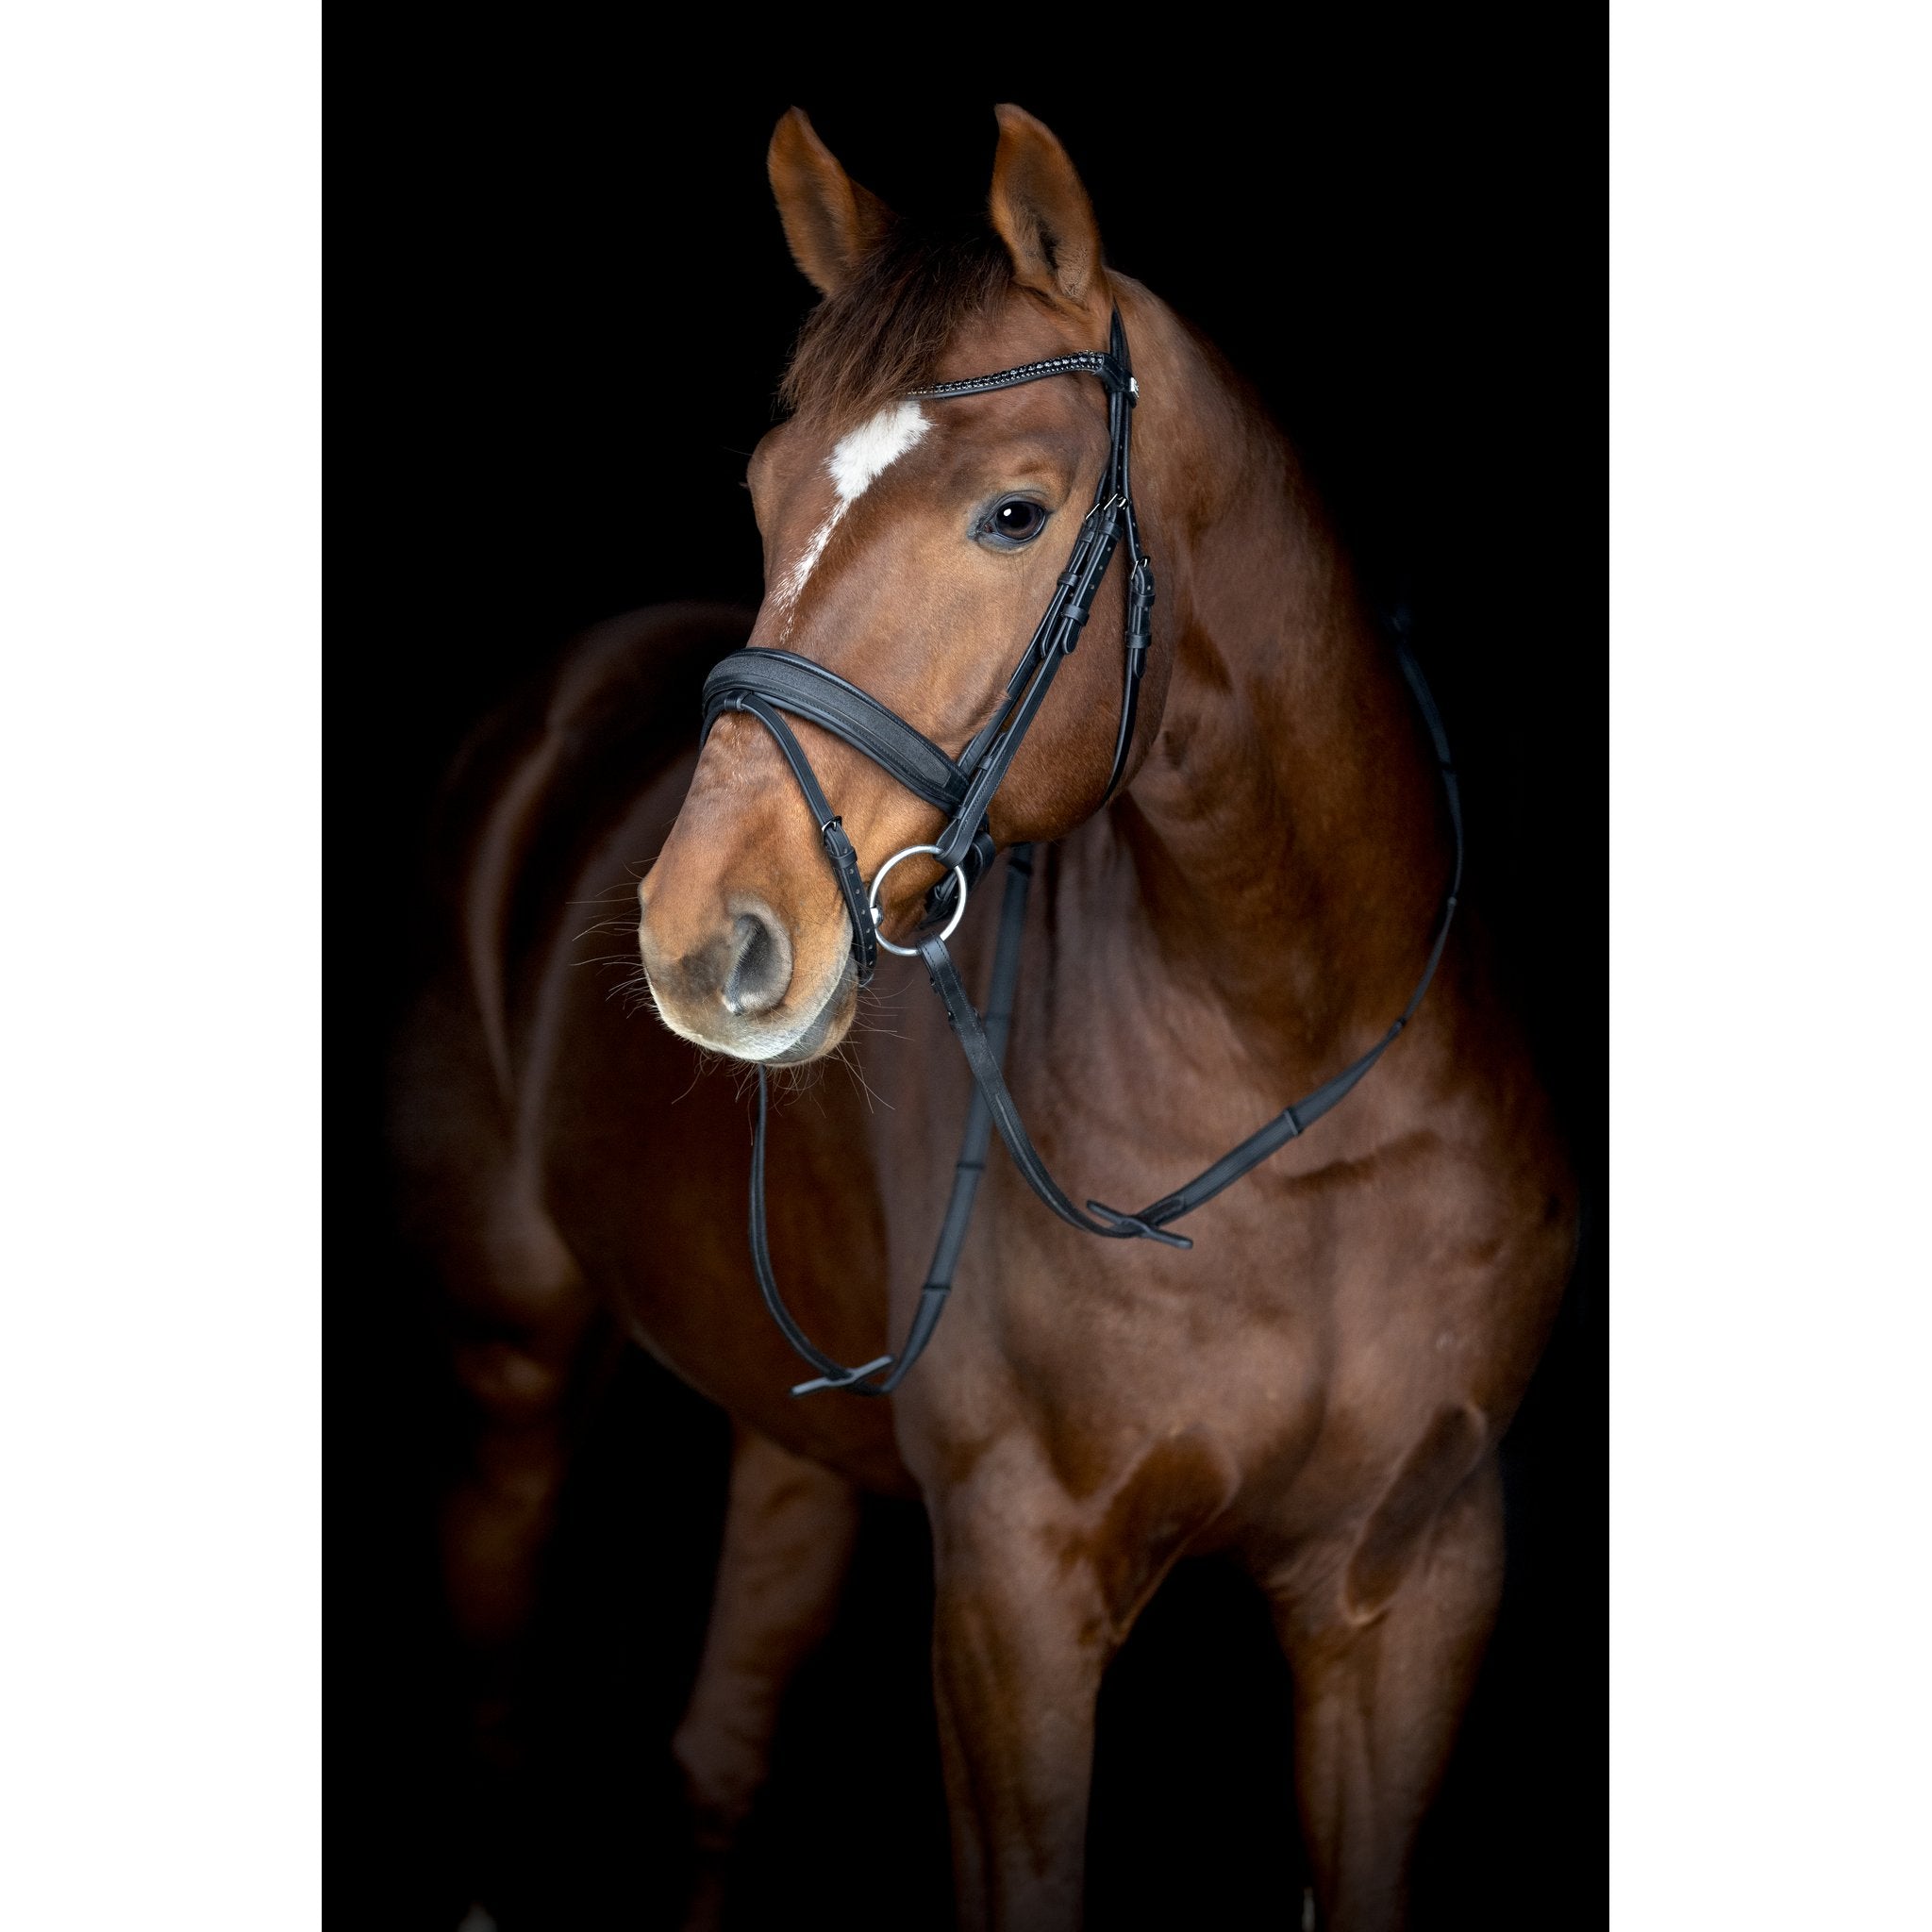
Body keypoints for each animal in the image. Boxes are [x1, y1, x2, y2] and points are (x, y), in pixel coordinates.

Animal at [390, 104, 1577, 1932]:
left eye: (1014, 511)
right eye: (764, 495)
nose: (700, 937)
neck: (1291, 1059)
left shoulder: (1418, 1576)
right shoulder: (1016, 1597)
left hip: (791, 1434)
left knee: (715, 1760)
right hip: (505, 1374)